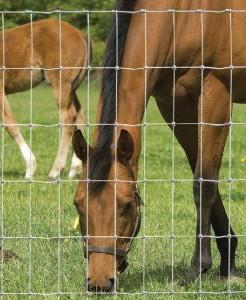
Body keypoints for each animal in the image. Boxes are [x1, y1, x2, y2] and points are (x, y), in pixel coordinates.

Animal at [0, 18, 88, 179]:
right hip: (71, 88)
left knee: (68, 120)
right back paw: (74, 169)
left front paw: (30, 168)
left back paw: (55, 171)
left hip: (60, 84)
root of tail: (80, 33)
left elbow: (10, 124)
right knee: (79, 116)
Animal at [72, 0, 244, 292]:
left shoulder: (217, 91)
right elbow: (201, 173)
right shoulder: (175, 104)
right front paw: (228, 263)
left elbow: (204, 183)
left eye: (128, 205)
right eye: (78, 204)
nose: (99, 282)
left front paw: (197, 268)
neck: (185, 16)